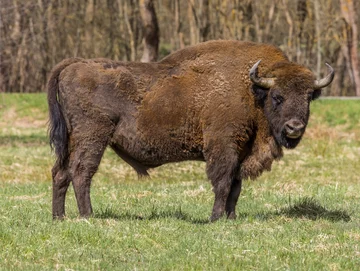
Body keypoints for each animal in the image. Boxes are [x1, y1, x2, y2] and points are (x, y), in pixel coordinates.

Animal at [47, 41, 334, 223]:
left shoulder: (241, 151)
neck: (251, 90)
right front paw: (215, 218)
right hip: (92, 137)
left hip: (72, 139)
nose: (295, 127)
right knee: (81, 172)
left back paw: (59, 217)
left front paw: (231, 218)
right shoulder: (224, 147)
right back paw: (87, 216)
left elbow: (236, 186)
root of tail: (75, 64)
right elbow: (223, 183)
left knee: (60, 172)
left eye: (309, 96)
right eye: (277, 96)